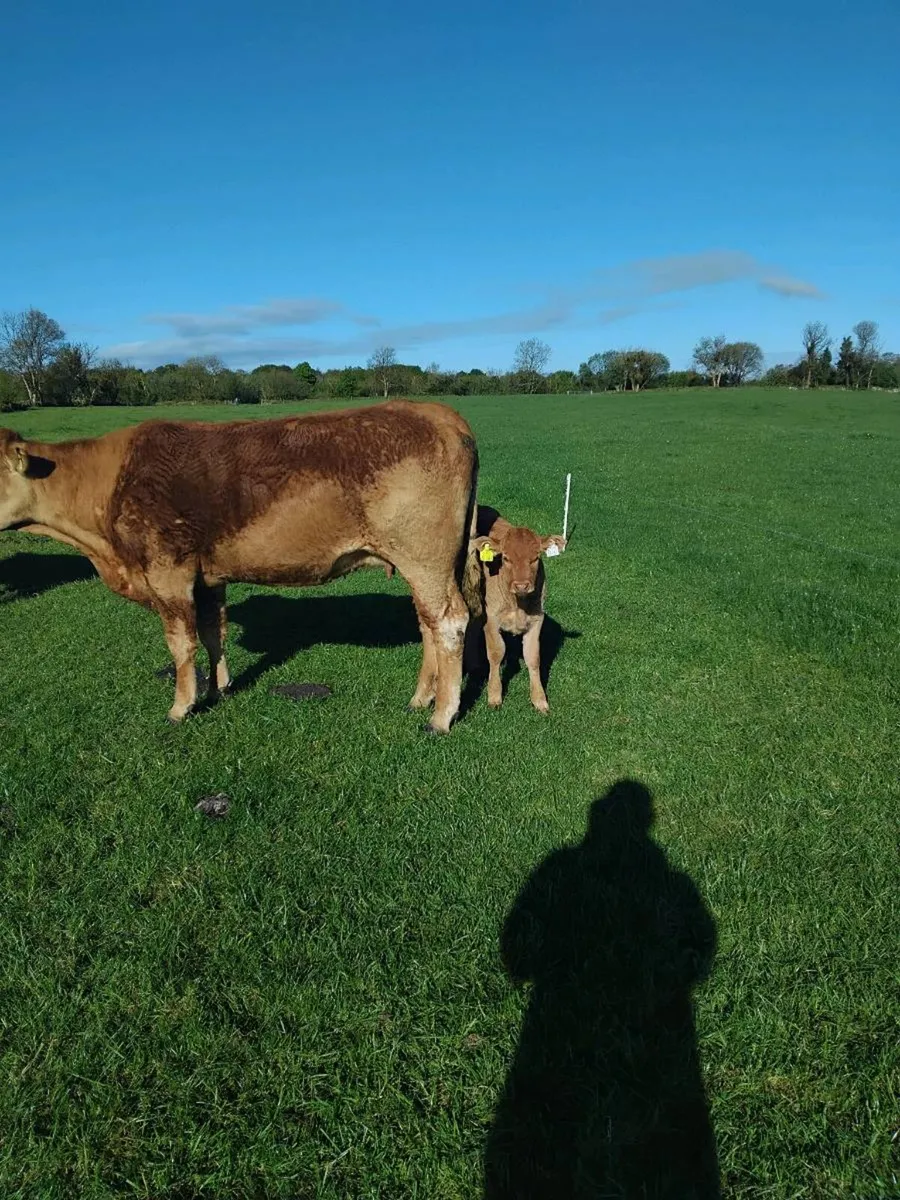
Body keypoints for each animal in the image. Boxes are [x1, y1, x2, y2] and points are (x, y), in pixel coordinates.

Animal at [0, 400, 478, 733]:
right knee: (427, 623)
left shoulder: (167, 572)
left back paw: (441, 716)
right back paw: (422, 697)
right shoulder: (208, 577)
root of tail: (439, 414)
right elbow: (215, 631)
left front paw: (182, 706)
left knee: (449, 622)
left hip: (424, 558)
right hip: (425, 566)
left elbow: (181, 644)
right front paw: (220, 687)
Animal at [464, 505, 566, 713]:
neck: (518, 604)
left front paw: (539, 699)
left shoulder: (537, 620)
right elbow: (496, 653)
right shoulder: (491, 620)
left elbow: (533, 657)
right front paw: (494, 695)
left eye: (535, 558)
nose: (521, 585)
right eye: (505, 558)